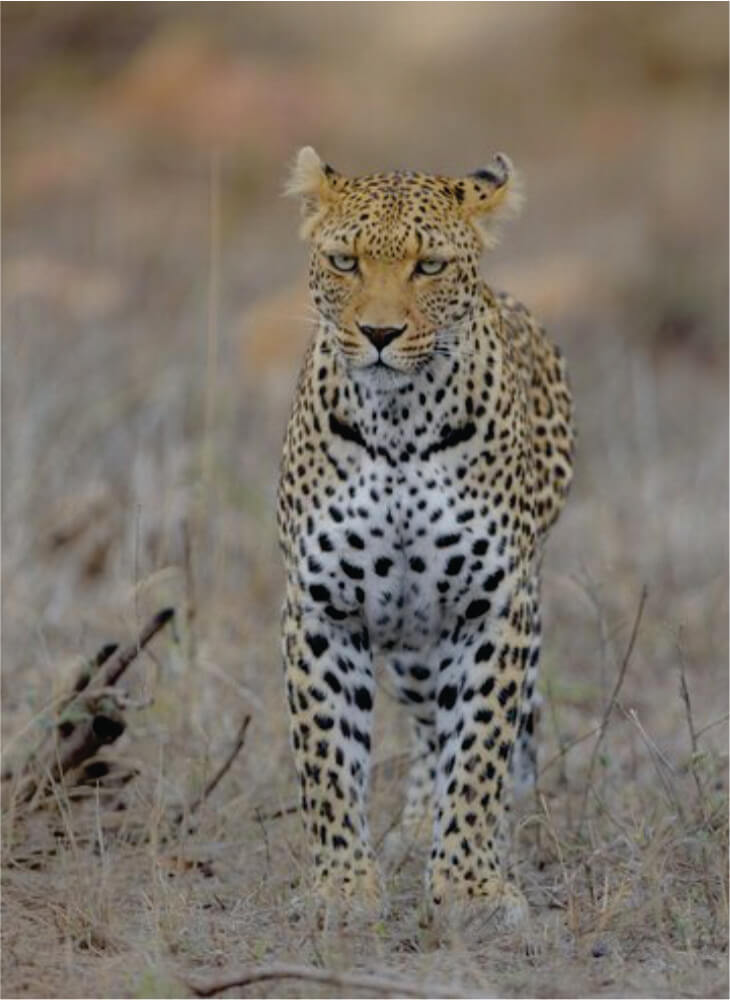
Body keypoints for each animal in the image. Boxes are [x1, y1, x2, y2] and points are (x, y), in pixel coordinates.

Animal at [276, 146, 572, 920]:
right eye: (344, 261)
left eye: (430, 266)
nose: (379, 336)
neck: (400, 426)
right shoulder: (322, 610)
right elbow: (328, 757)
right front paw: (342, 886)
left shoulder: (494, 611)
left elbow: (481, 751)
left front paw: (470, 884)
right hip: (412, 645)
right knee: (428, 726)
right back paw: (413, 830)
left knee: (492, 733)